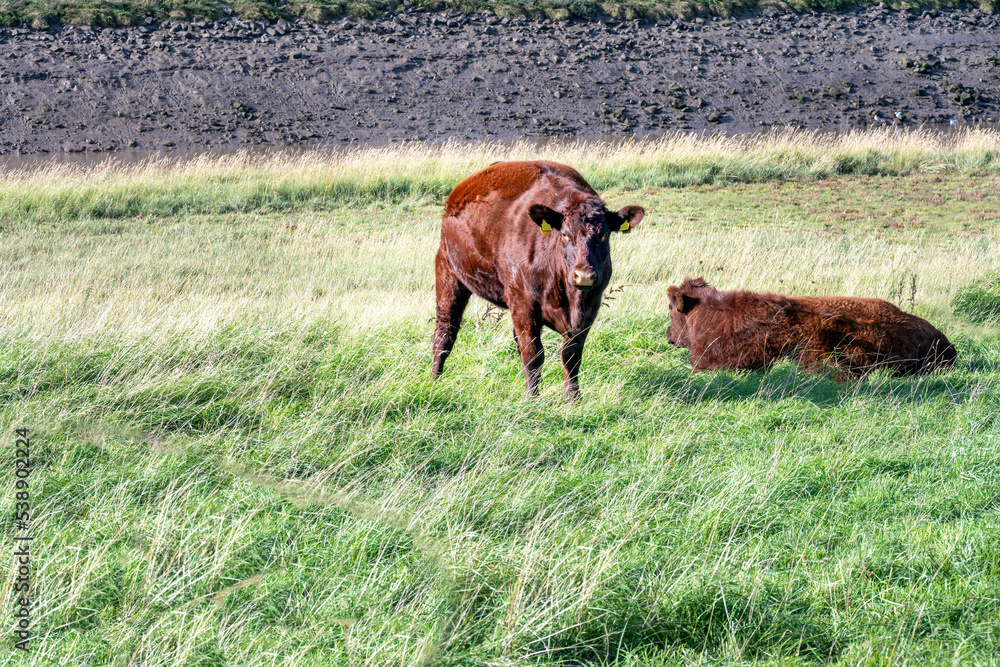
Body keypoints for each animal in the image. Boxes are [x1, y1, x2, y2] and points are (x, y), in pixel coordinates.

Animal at [432, 160, 645, 398]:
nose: (584, 275)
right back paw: (434, 380)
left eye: (604, 235)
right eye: (565, 235)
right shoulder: (524, 303)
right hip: (448, 274)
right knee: (445, 332)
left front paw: (572, 397)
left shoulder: (590, 307)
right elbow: (533, 353)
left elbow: (571, 355)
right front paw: (531, 397)